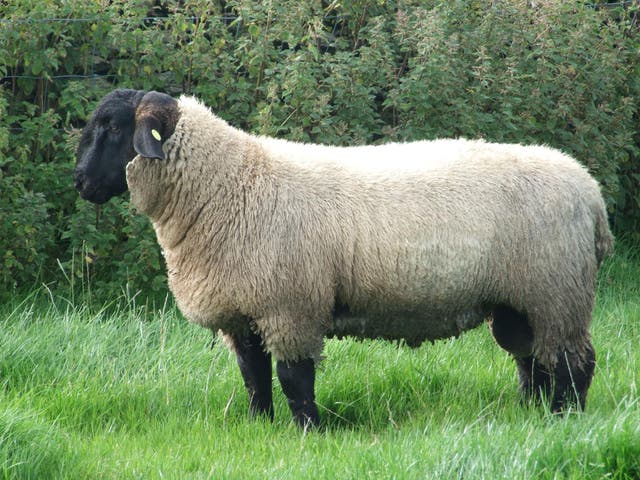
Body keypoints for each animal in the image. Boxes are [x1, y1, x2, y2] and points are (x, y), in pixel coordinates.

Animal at [75, 90, 616, 428]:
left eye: (113, 126)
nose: (79, 182)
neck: (228, 185)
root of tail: (590, 192)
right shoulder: (244, 313)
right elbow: (254, 378)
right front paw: (259, 426)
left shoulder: (290, 307)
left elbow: (294, 379)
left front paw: (308, 433)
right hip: (519, 300)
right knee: (533, 359)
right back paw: (530, 412)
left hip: (557, 290)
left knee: (574, 362)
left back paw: (566, 419)